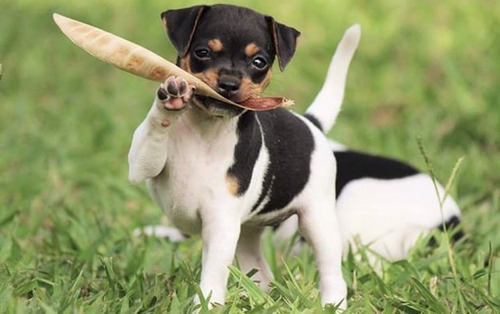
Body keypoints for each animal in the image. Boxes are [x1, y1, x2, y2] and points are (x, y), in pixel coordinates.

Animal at [127, 4, 358, 310]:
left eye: (259, 62)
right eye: (202, 52)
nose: (228, 83)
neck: (207, 128)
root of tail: (311, 123)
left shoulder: (221, 224)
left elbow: (212, 277)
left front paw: (205, 306)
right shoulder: (141, 165)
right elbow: (152, 136)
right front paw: (171, 98)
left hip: (317, 221)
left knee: (332, 273)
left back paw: (332, 304)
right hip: (247, 232)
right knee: (262, 272)